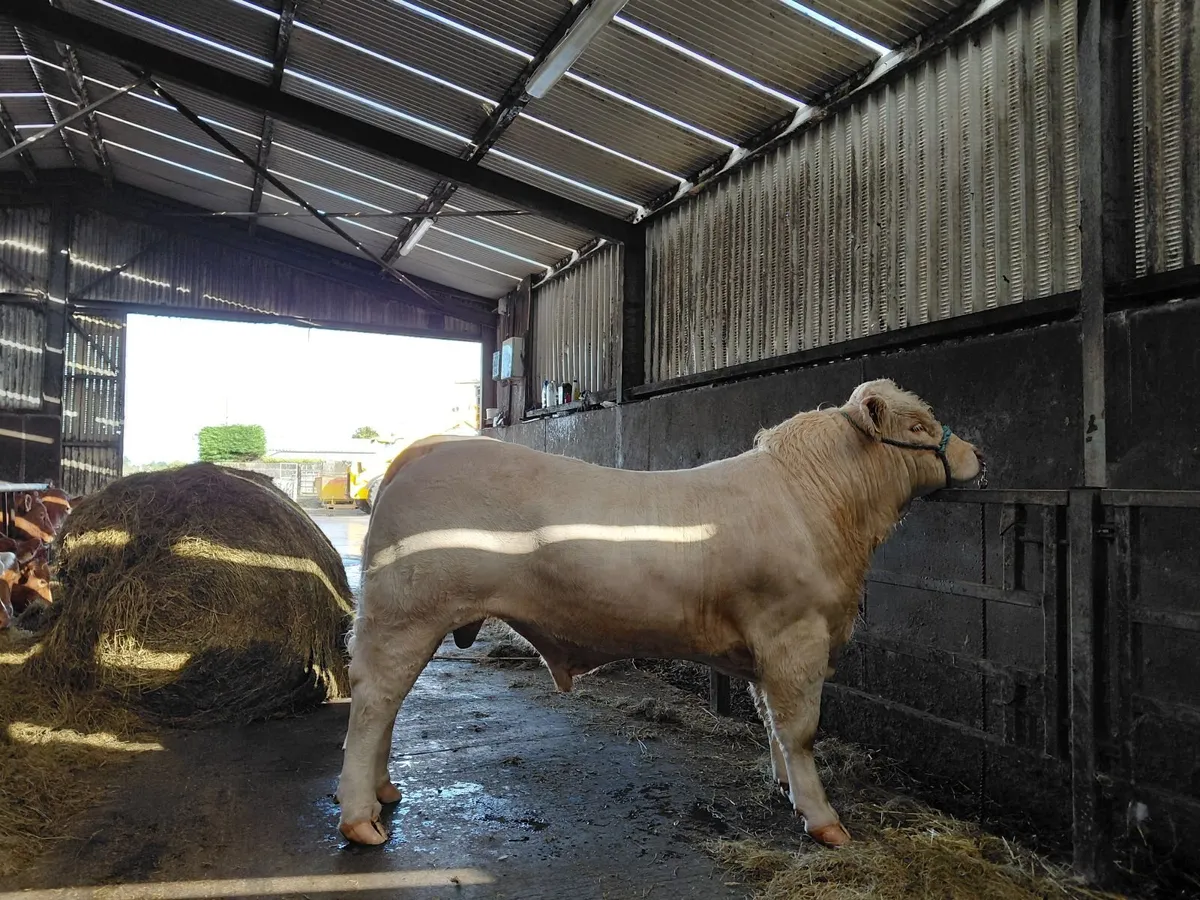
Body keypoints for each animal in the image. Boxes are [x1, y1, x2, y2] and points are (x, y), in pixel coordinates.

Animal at [335, 379, 983, 848]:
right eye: (917, 425)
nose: (977, 453)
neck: (819, 505)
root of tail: (425, 448)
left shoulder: (766, 643)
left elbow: (771, 718)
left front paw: (784, 784)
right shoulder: (795, 632)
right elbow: (801, 727)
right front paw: (824, 820)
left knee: (387, 705)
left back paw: (386, 792)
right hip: (406, 613)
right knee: (373, 702)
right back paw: (361, 818)